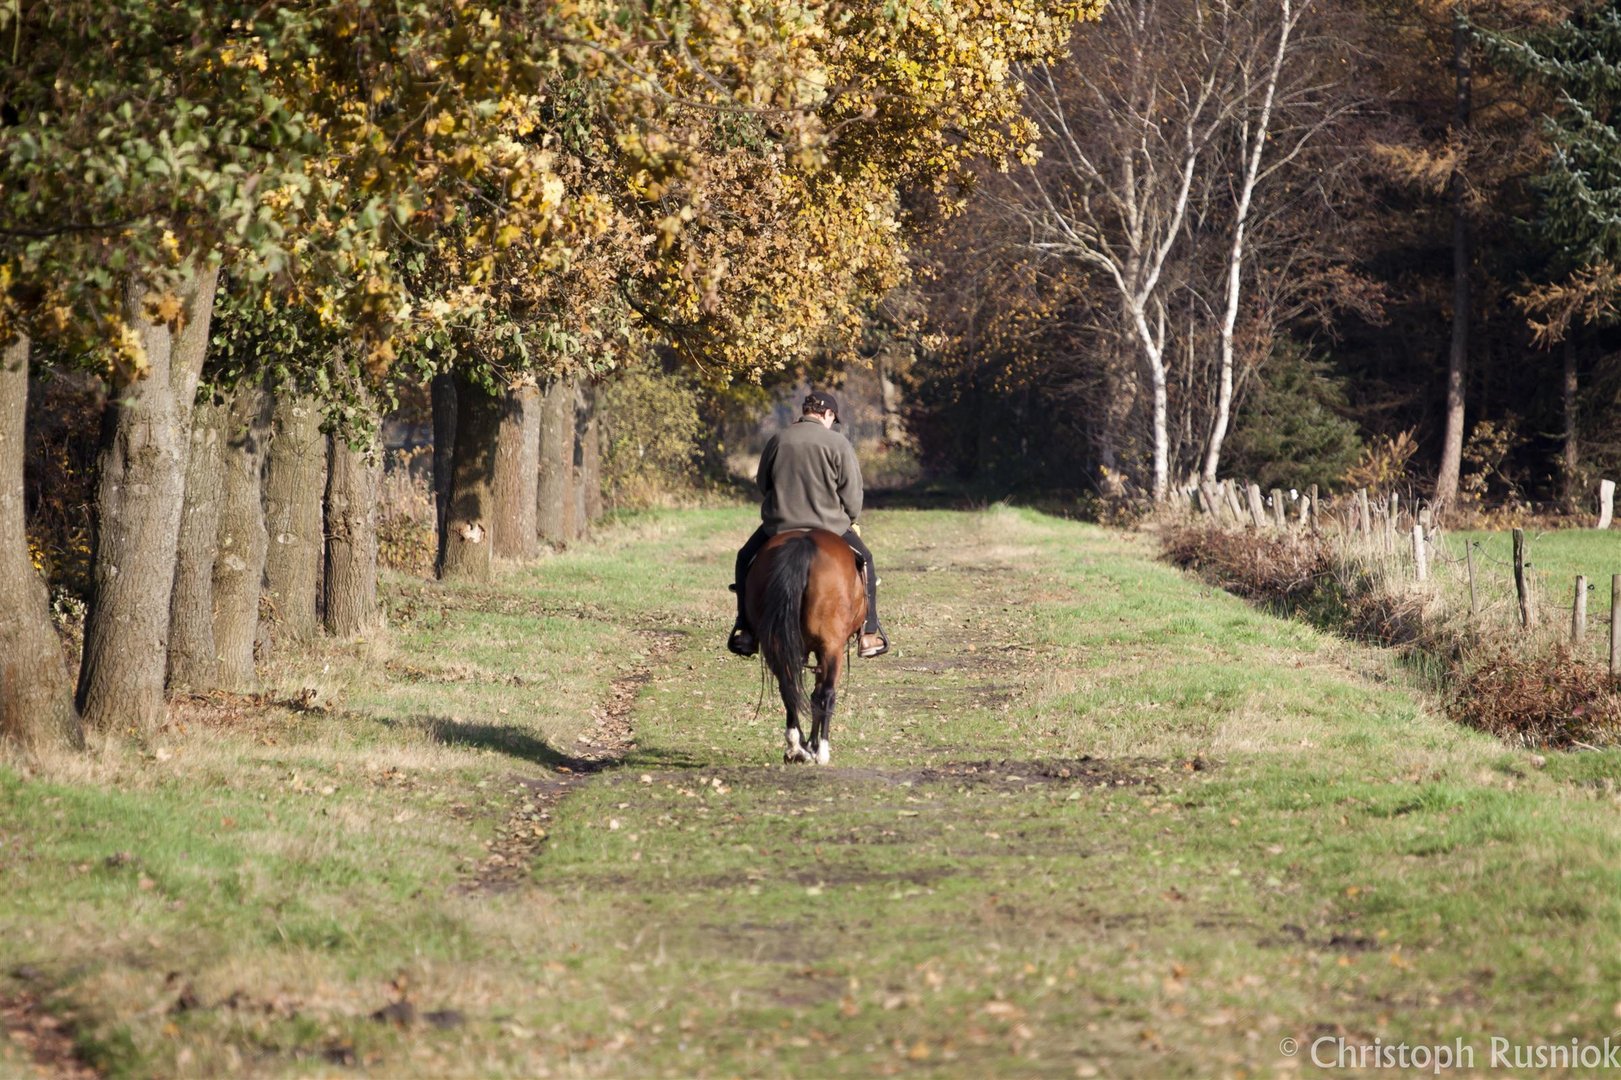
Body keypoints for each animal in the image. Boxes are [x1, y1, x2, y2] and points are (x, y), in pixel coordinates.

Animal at [745, 525, 868, 762]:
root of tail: (803, 541)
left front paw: (806, 744)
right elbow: (818, 694)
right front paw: (814, 745)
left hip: (776, 644)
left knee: (788, 687)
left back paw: (795, 747)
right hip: (831, 646)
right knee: (826, 694)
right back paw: (821, 751)